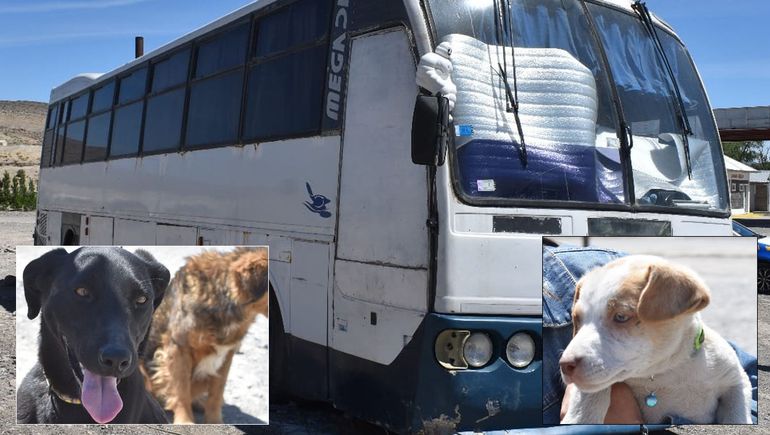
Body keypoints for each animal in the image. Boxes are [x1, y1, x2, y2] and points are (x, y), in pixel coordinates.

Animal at [140, 250, 268, 424]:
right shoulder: (178, 348)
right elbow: (181, 389)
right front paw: (185, 421)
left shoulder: (227, 353)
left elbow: (217, 392)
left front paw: (214, 421)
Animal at [560, 255, 752, 426]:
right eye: (577, 319)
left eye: (621, 317)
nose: (565, 365)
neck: (666, 372)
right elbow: (592, 394)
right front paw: (580, 418)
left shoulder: (736, 379)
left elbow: (738, 414)